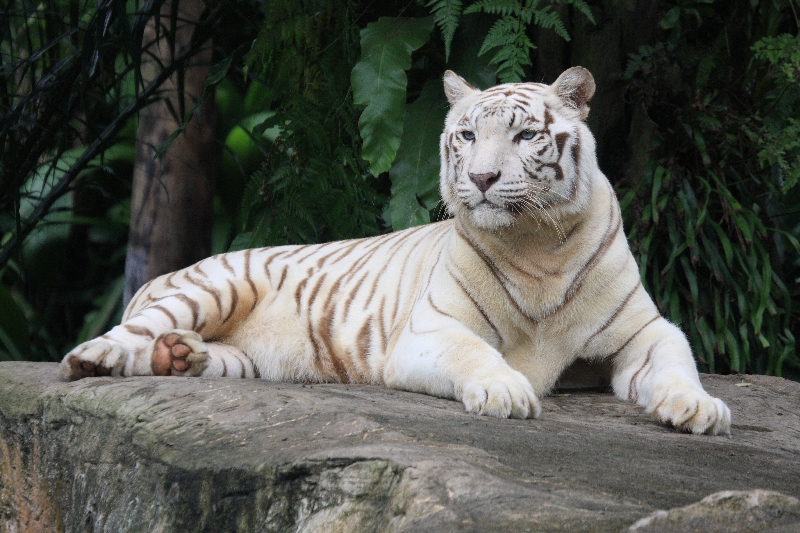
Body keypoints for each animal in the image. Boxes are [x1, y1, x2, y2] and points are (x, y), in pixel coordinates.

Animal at [61, 67, 731, 435]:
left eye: (525, 135)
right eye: (467, 135)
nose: (482, 178)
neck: (538, 245)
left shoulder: (644, 330)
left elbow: (677, 363)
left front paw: (699, 409)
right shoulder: (430, 331)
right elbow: (477, 354)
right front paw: (508, 391)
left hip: (247, 359)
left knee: (195, 354)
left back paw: (179, 358)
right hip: (214, 285)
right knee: (125, 335)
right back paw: (93, 359)